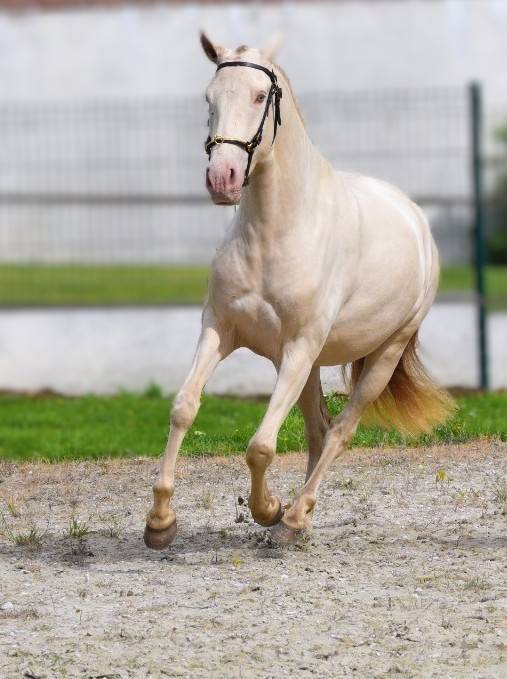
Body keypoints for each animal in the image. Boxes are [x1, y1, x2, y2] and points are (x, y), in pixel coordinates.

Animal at [143, 33, 455, 549]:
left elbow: (260, 446)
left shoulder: (299, 346)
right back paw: (299, 516)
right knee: (318, 429)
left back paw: (293, 517)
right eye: (209, 99)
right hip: (305, 364)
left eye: (259, 96)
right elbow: (184, 408)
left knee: (340, 431)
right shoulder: (220, 329)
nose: (222, 178)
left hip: (378, 356)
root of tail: (415, 218)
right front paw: (160, 522)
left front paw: (268, 510)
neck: (277, 232)